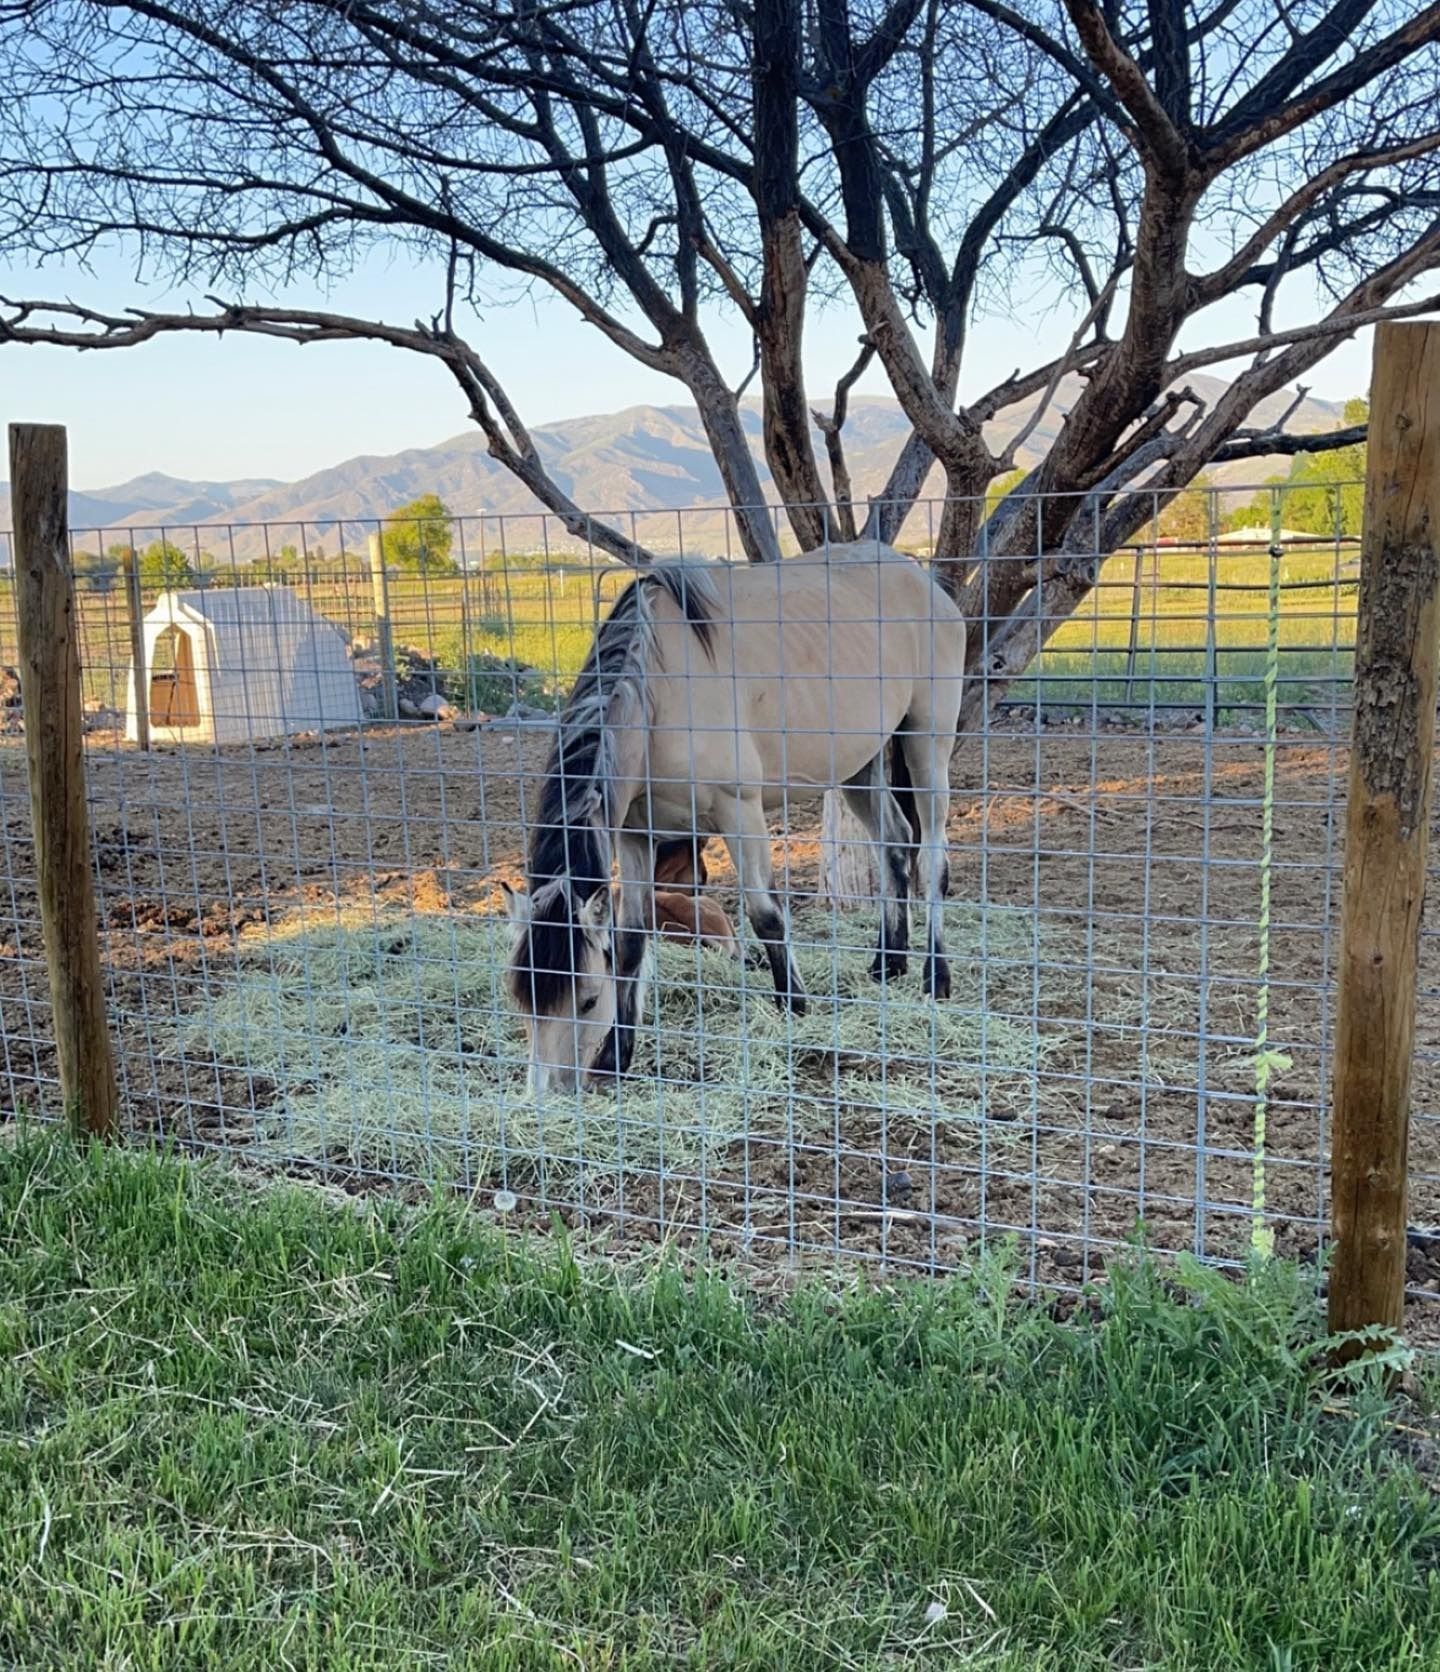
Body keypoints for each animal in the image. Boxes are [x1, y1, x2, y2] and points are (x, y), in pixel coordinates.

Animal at [501, 542, 966, 1094]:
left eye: (589, 997)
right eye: (520, 998)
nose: (549, 1094)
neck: (661, 690)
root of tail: (921, 578)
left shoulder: (739, 812)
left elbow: (765, 914)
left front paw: (794, 1005)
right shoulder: (635, 834)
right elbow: (631, 939)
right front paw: (617, 1055)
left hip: (928, 742)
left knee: (932, 857)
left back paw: (936, 976)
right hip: (861, 763)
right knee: (894, 842)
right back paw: (888, 963)